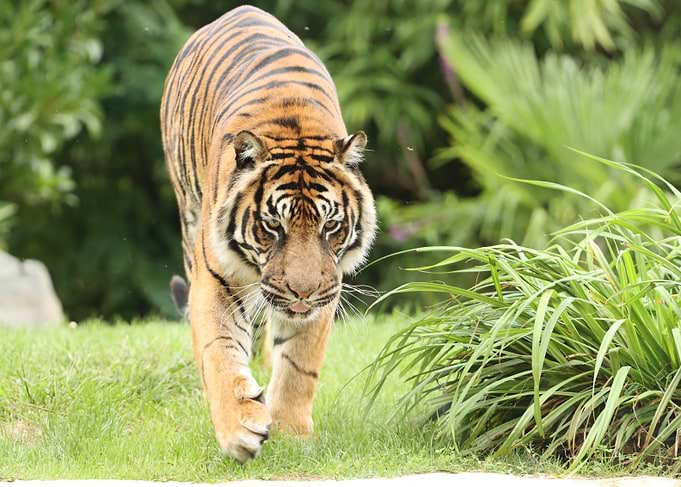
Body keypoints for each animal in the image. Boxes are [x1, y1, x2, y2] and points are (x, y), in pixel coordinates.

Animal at [160, 5, 377, 462]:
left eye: (330, 226)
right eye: (273, 227)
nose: (302, 292)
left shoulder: (327, 289)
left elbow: (299, 365)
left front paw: (292, 434)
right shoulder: (216, 280)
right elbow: (218, 351)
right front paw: (240, 427)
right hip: (188, 214)